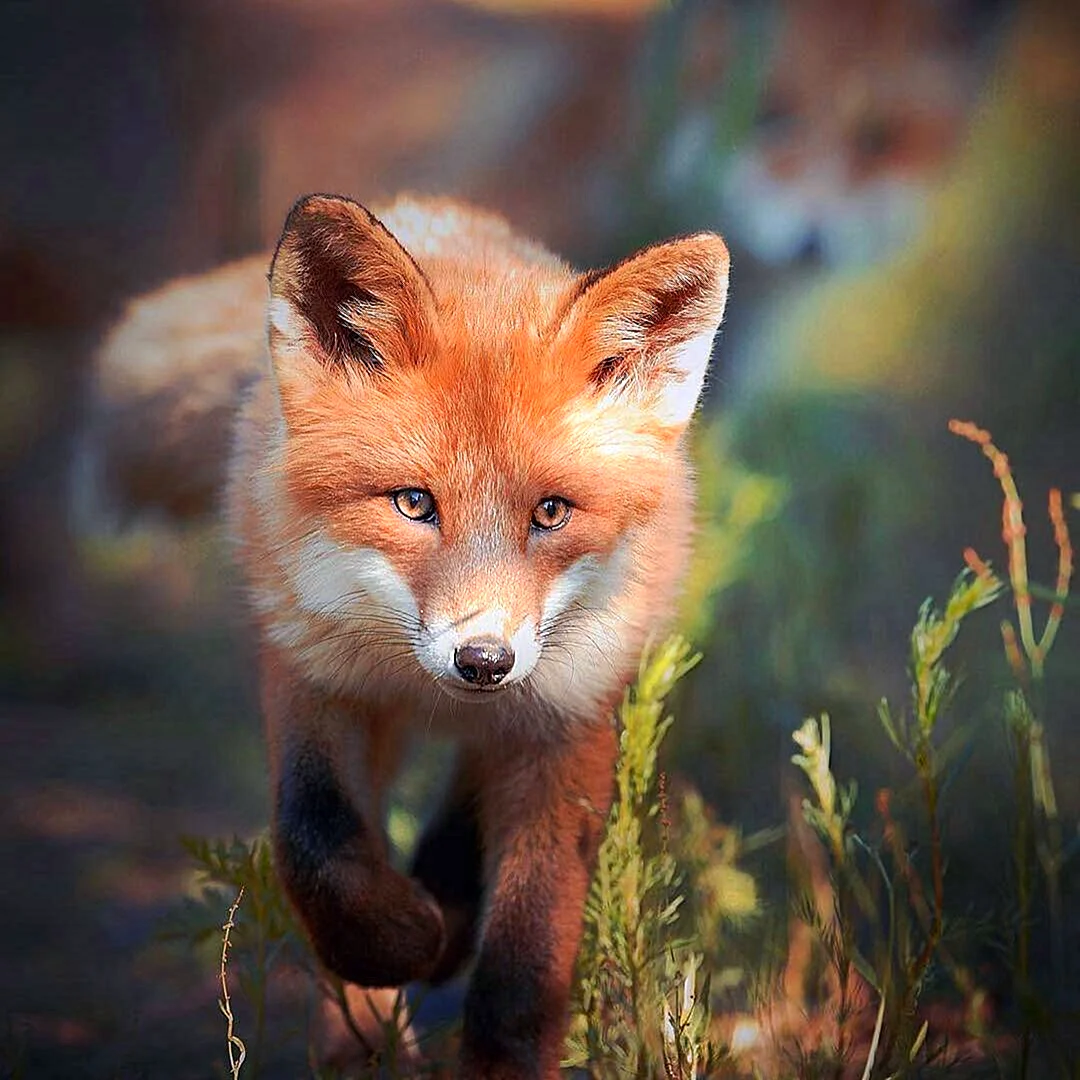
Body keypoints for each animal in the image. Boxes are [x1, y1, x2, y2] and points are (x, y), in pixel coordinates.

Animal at [92, 193, 729, 1077]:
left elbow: (526, 961)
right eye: (414, 503)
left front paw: (498, 1053)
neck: (426, 686)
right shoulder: (313, 674)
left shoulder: (568, 718)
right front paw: (393, 946)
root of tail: (437, 212)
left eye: (551, 512)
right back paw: (374, 1018)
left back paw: (447, 905)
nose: (483, 660)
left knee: (469, 798)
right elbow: (316, 844)